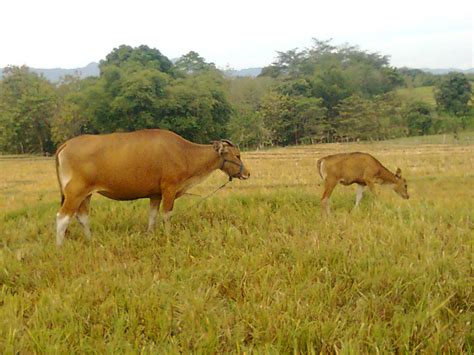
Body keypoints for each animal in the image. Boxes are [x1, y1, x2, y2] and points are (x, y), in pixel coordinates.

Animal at [54, 129, 252, 246]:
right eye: (237, 155)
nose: (247, 173)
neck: (185, 153)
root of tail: (67, 144)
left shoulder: (155, 194)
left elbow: (152, 216)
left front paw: (150, 235)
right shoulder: (169, 189)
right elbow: (166, 215)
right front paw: (168, 236)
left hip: (85, 194)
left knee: (82, 217)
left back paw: (91, 240)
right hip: (74, 193)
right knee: (62, 218)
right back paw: (59, 247)